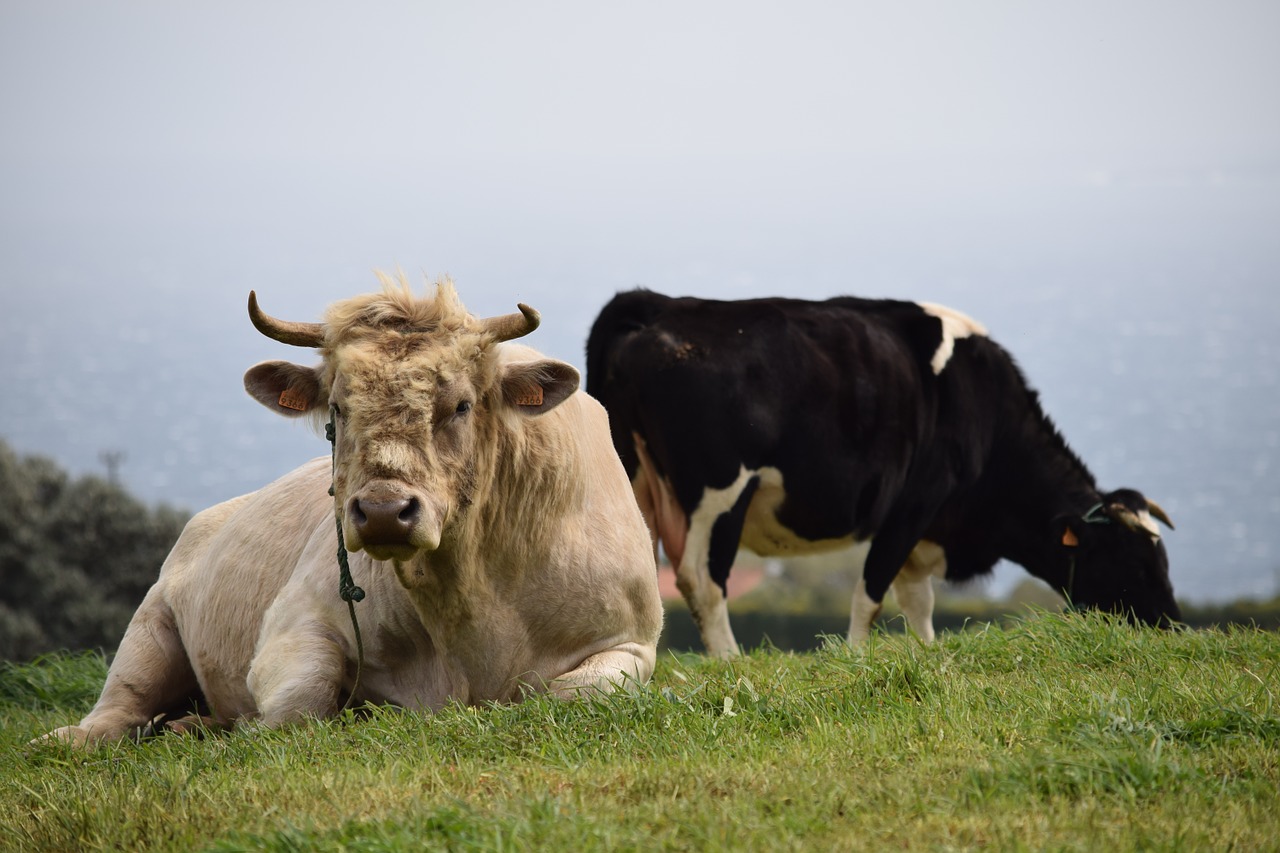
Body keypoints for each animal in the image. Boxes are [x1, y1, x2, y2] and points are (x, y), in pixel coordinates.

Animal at [42, 275, 660, 742]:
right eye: (338, 406)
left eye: (461, 405)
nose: (384, 511)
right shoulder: (296, 620)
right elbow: (300, 700)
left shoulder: (628, 642)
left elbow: (576, 694)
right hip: (151, 623)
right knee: (119, 708)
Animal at [588, 289, 1177, 653]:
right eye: (1135, 560)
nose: (1170, 623)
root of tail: (659, 306)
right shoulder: (914, 503)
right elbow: (872, 592)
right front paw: (854, 659)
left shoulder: (928, 528)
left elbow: (918, 600)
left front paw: (927, 652)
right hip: (719, 492)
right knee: (702, 579)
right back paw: (731, 662)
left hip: (631, 479)